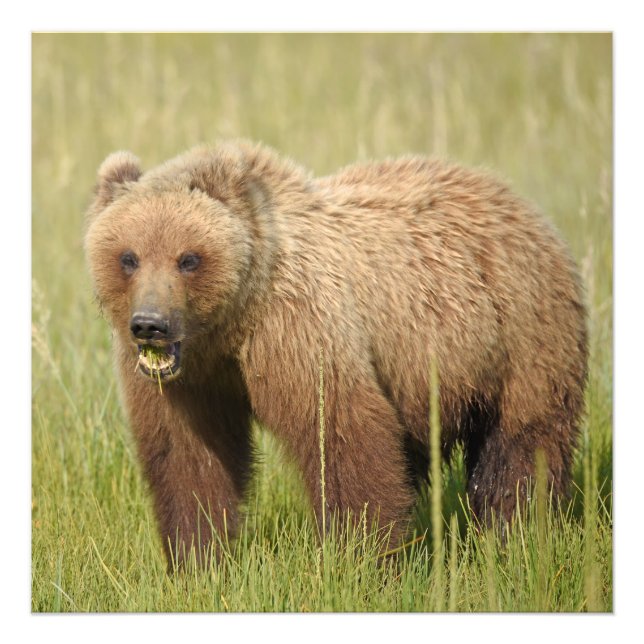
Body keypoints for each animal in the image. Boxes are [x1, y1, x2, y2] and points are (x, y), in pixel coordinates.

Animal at [84, 140, 587, 567]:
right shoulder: (190, 382)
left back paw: (515, 531)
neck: (230, 324)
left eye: (188, 258)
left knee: (524, 445)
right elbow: (188, 455)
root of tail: (518, 201)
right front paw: (197, 558)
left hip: (522, 334)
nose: (150, 323)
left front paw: (362, 555)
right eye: (128, 257)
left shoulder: (297, 329)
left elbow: (341, 430)